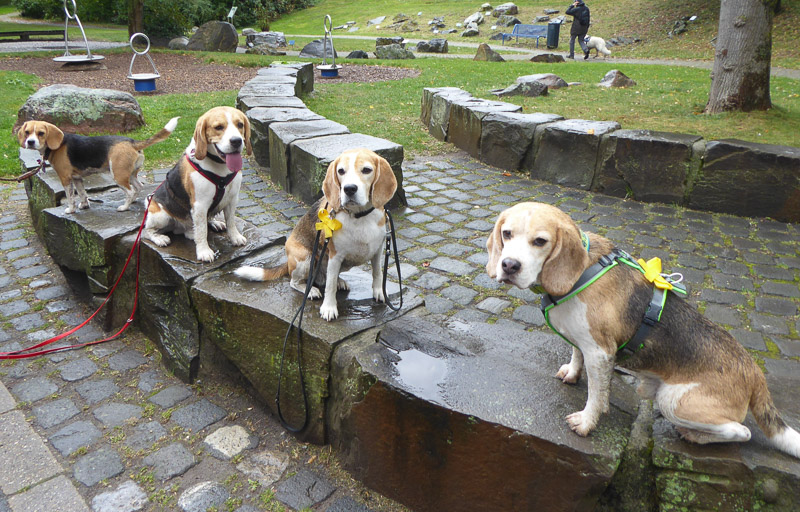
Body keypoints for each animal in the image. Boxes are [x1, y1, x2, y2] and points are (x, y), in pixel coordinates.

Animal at [15, 117, 179, 213]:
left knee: (130, 191)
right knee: (138, 187)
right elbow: (82, 193)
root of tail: (132, 142)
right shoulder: (77, 178)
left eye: (41, 133)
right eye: (27, 132)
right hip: (130, 174)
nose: (30, 142)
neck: (57, 145)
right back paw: (132, 201)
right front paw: (84, 205)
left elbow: (70, 197)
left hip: (118, 175)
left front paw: (70, 210)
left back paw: (124, 207)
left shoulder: (65, 179)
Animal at [143, 106, 250, 262]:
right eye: (219, 127)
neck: (220, 167)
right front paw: (204, 251)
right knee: (146, 231)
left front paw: (235, 237)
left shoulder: (232, 199)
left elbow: (231, 222)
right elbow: (202, 231)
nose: (236, 141)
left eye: (240, 124)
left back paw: (212, 223)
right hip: (161, 216)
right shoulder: (200, 205)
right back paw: (160, 238)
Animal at [238, 148, 400, 320]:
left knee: (325, 278)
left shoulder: (378, 250)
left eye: (367, 170)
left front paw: (380, 292)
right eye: (341, 171)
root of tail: (288, 263)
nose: (349, 188)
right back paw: (311, 290)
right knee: (296, 282)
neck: (359, 216)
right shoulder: (335, 256)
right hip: (304, 259)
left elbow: (377, 273)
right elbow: (329, 287)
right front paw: (329, 308)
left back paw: (338, 281)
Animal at [484, 202, 796, 458]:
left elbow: (596, 394)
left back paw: (694, 435)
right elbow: (576, 353)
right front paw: (572, 372)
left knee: (742, 432)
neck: (581, 271)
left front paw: (587, 422)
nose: (509, 265)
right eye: (507, 234)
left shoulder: (600, 353)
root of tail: (754, 373)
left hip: (673, 401)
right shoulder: (584, 341)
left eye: (540, 241)